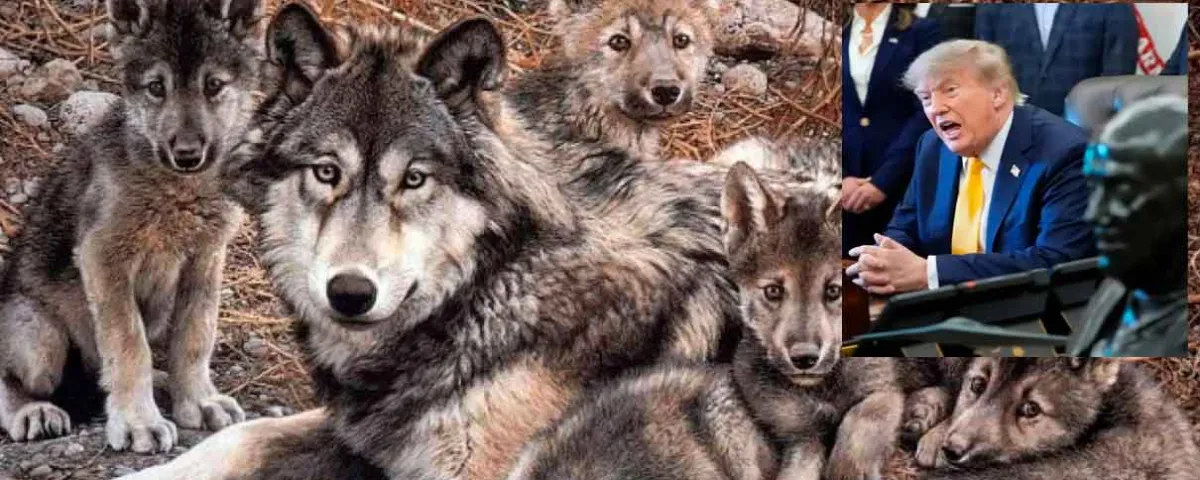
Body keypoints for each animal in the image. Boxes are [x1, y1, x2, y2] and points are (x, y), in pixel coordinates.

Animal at [0, 0, 260, 453]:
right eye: (156, 88)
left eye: (213, 85)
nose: (187, 154)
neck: (177, 190)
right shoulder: (102, 256)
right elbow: (128, 345)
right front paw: (139, 421)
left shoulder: (206, 257)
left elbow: (195, 336)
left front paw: (198, 401)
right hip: (39, 341)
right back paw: (33, 412)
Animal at [120, 6, 759, 479]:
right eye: (327, 172)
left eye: (414, 178)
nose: (349, 293)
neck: (493, 285)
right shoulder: (371, 424)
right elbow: (241, 436)